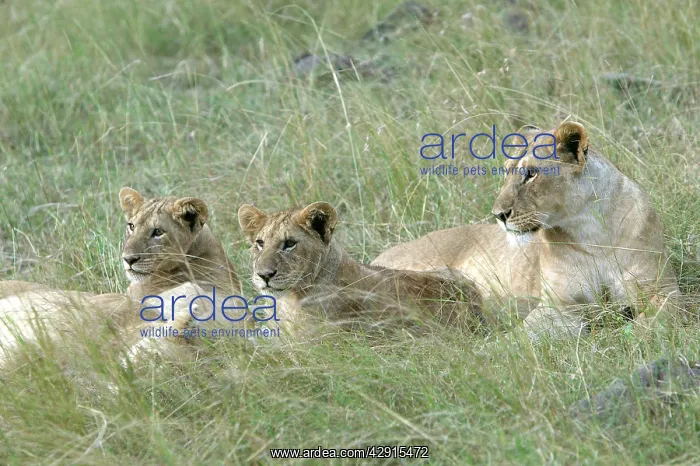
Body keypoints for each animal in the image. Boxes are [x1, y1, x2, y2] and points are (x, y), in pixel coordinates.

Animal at [374, 121, 682, 339]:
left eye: (531, 174)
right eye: (506, 171)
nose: (498, 215)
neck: (590, 231)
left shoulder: (660, 288)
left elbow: (662, 316)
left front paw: (636, 334)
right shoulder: (559, 304)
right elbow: (521, 337)